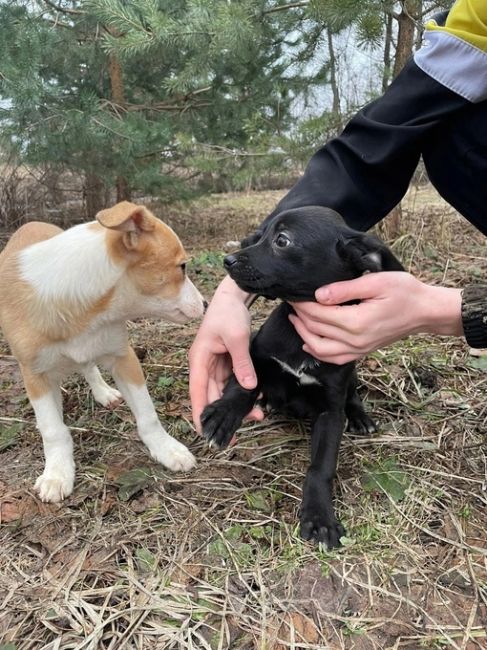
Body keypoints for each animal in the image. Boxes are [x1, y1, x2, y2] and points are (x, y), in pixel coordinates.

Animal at [0, 200, 205, 504]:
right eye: (182, 267)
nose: (206, 303)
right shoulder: (35, 376)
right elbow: (52, 429)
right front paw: (57, 473)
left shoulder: (124, 358)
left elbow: (147, 415)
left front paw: (167, 449)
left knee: (88, 366)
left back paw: (103, 392)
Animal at [202, 206, 404, 548]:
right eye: (259, 235)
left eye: (282, 240)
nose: (228, 260)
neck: (301, 337)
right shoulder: (253, 354)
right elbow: (244, 385)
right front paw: (223, 415)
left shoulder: (330, 411)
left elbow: (321, 467)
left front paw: (320, 516)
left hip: (351, 373)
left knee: (354, 394)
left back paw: (361, 418)